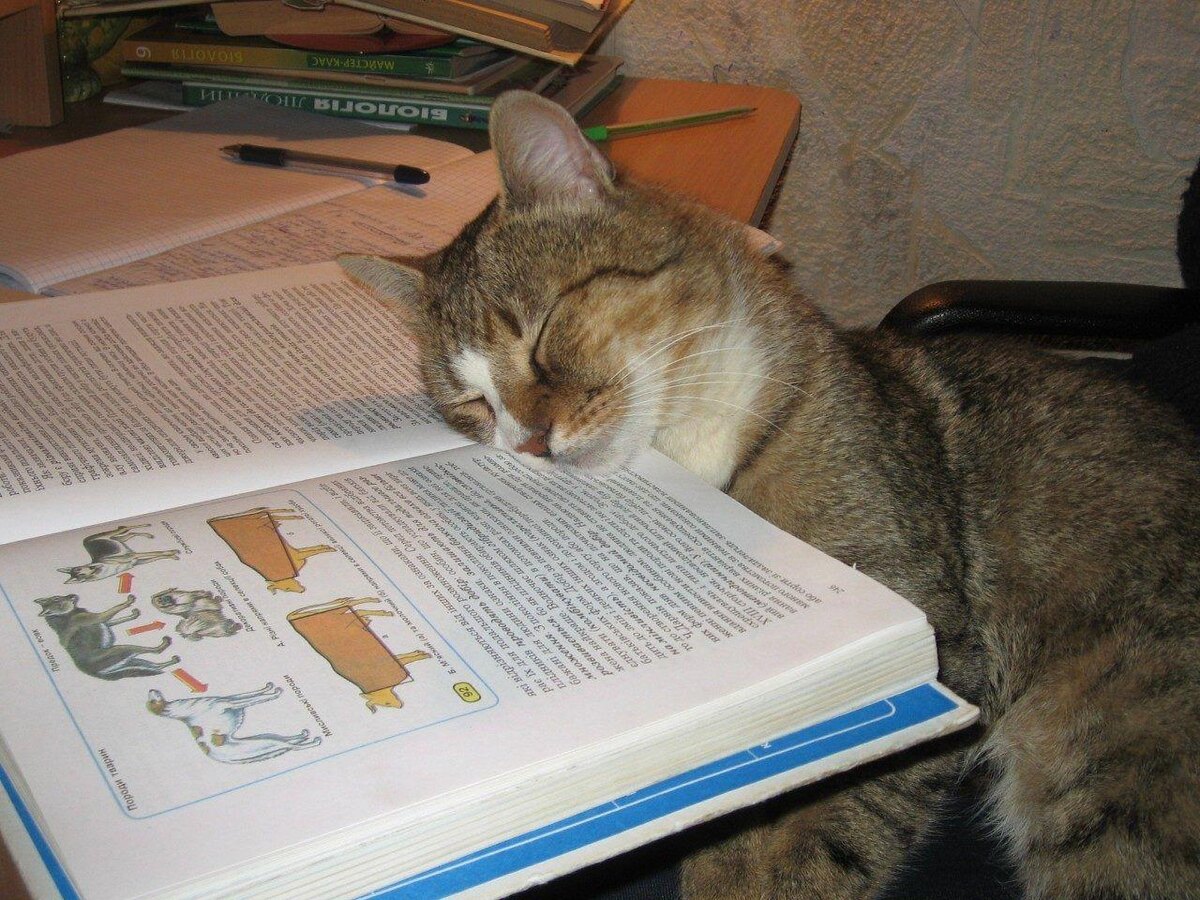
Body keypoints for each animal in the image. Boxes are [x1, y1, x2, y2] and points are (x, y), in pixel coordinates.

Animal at [341, 91, 1200, 899]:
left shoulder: (926, 626)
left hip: (1109, 764)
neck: (696, 440)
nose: (528, 443)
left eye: (542, 329)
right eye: (471, 406)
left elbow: (817, 827)